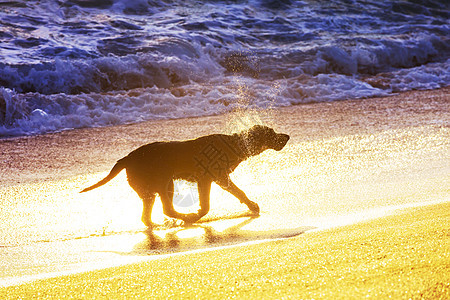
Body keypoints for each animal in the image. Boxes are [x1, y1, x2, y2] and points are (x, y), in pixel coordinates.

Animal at [81, 125, 290, 226]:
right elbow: (206, 206)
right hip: (165, 184)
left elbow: (239, 193)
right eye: (272, 133)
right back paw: (186, 217)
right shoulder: (208, 179)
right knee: (166, 209)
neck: (234, 144)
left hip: (153, 190)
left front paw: (251, 205)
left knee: (147, 217)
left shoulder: (219, 178)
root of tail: (126, 158)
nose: (287, 136)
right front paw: (197, 214)